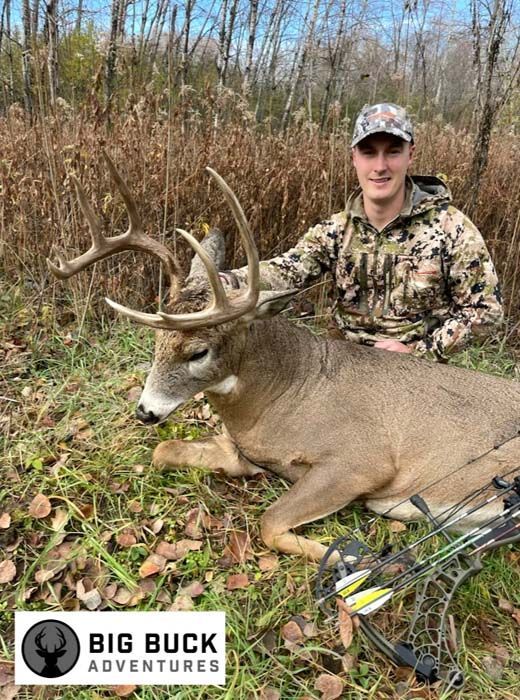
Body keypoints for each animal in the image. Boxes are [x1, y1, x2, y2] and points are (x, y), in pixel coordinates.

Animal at [48, 154, 520, 562]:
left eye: (198, 351)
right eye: (157, 342)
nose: (145, 411)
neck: (282, 396)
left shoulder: (362, 461)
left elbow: (270, 522)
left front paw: (360, 558)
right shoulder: (245, 450)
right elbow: (164, 450)